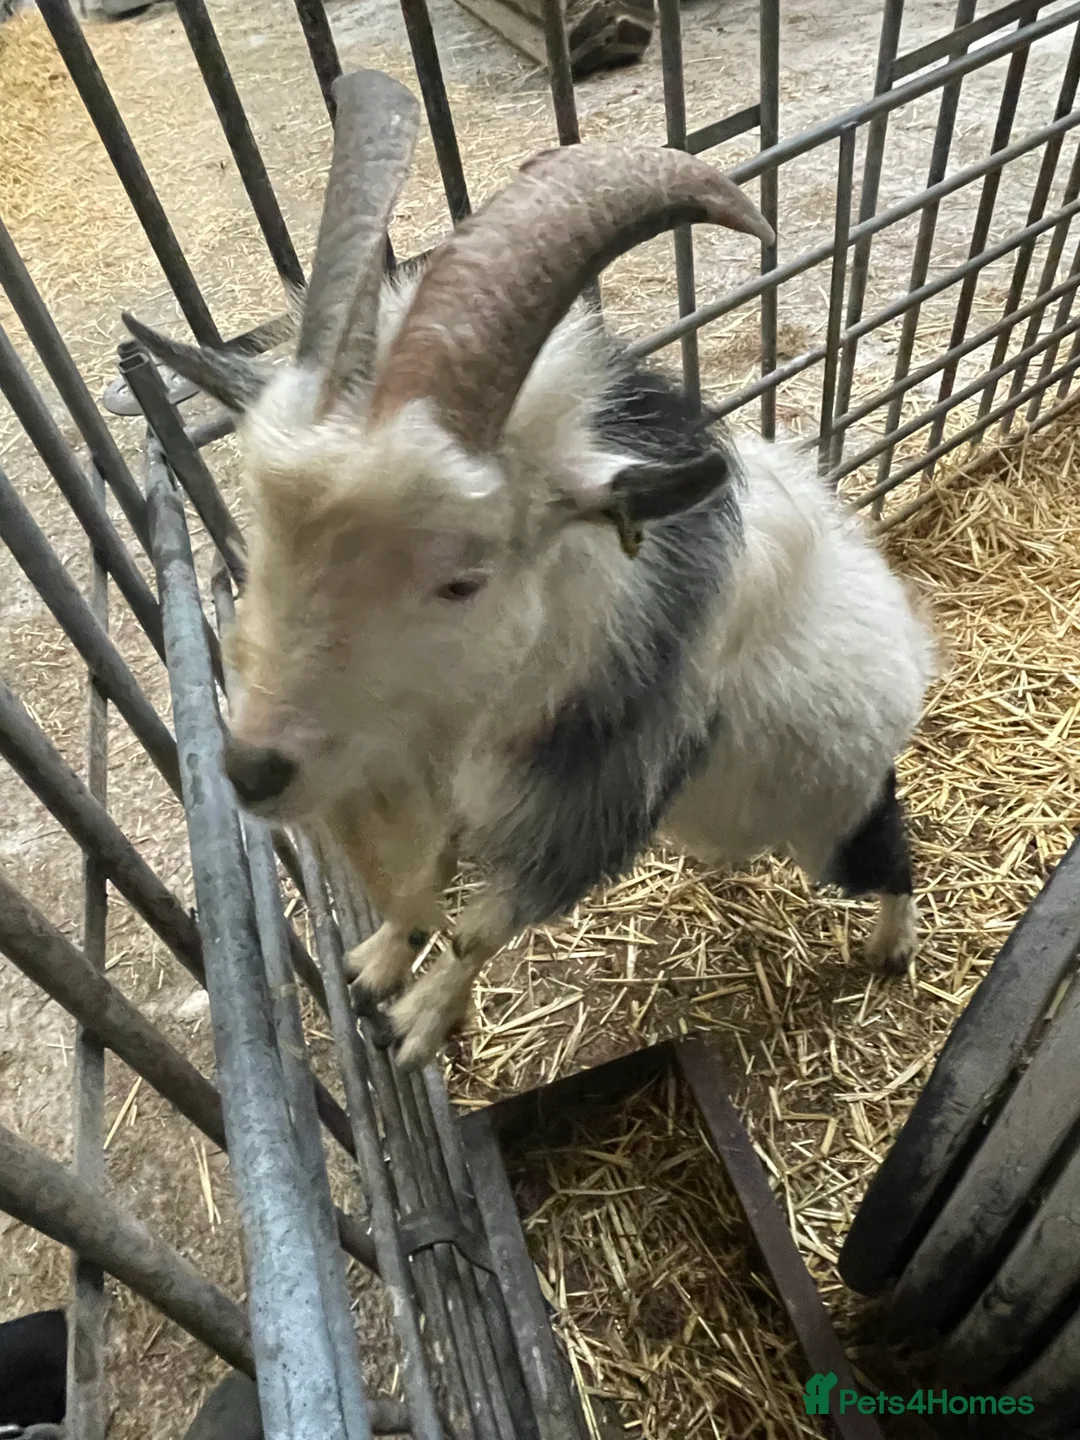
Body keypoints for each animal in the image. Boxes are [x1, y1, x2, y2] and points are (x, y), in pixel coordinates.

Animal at [124, 69, 936, 1069]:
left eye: (462, 578)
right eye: (263, 534)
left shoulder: (587, 813)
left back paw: (892, 945)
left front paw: (421, 1018)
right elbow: (431, 866)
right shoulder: (451, 770)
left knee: (889, 848)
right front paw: (378, 960)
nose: (250, 772)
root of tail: (913, 655)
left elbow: (481, 927)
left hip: (831, 807)